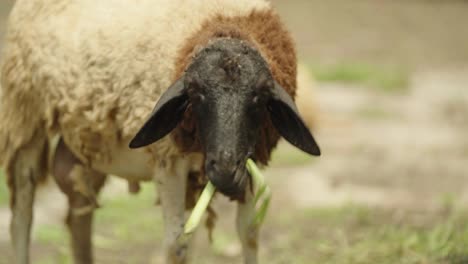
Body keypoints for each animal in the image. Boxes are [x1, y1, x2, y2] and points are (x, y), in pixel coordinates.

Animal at [0, 1, 320, 262]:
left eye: (259, 96)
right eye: (195, 94)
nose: (226, 170)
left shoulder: (252, 159)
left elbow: (249, 233)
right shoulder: (169, 159)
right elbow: (177, 245)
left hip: (87, 139)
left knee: (79, 211)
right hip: (25, 120)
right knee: (21, 220)